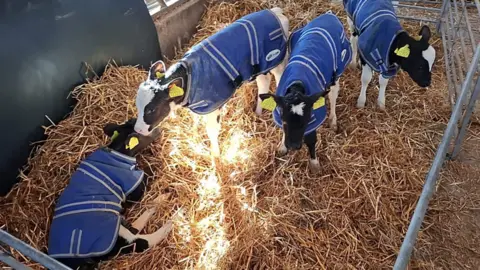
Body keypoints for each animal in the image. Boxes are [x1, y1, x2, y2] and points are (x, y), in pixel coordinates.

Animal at [47, 119, 173, 270]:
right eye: (146, 132)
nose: (160, 129)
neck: (117, 150)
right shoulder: (133, 188)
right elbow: (146, 178)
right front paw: (155, 170)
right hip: (112, 233)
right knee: (140, 241)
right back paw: (172, 218)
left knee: (135, 228)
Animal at [133, 7, 288, 156]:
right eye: (137, 104)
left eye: (152, 109)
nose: (137, 130)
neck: (189, 76)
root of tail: (274, 11)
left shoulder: (213, 107)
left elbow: (212, 131)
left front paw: (216, 156)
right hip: (260, 67)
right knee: (264, 81)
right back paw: (258, 112)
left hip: (279, 62)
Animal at [258, 11, 352, 172]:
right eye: (284, 120)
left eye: (306, 122)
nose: (293, 146)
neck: (297, 82)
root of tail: (328, 15)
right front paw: (282, 146)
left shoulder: (315, 117)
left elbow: (311, 140)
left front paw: (314, 163)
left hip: (338, 68)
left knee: (333, 94)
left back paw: (333, 120)